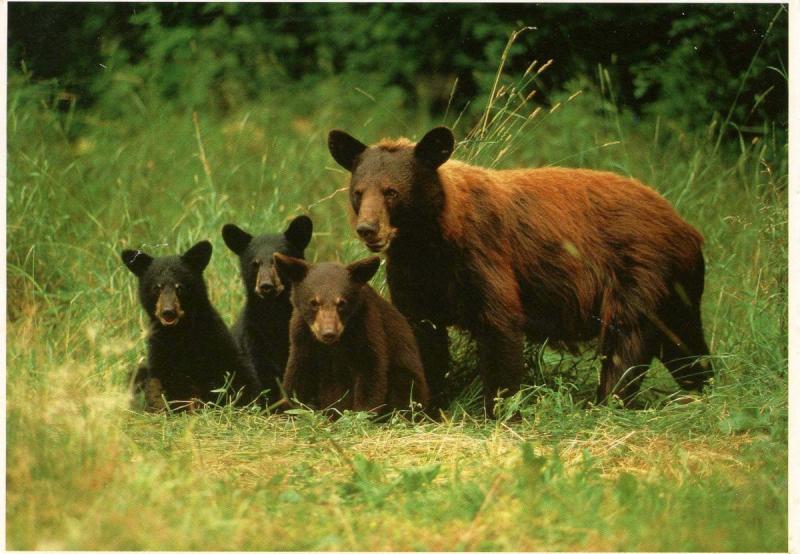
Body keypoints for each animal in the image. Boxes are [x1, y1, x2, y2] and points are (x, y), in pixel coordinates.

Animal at [324, 126, 712, 410]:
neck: (429, 242)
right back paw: (702, 388)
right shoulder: (412, 275)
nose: (368, 229)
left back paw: (608, 402)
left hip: (639, 273)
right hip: (676, 291)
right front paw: (424, 403)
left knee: (626, 341)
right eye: (358, 192)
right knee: (685, 344)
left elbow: (500, 326)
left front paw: (499, 408)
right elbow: (421, 334)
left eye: (391, 192)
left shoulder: (483, 256)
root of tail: (687, 228)